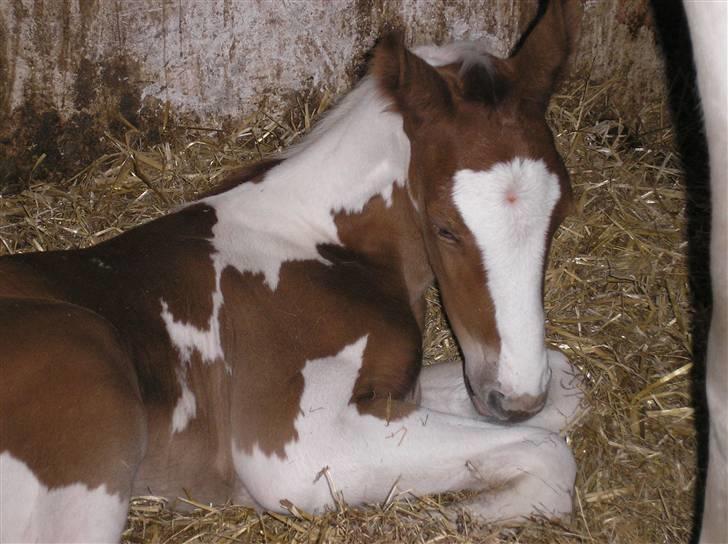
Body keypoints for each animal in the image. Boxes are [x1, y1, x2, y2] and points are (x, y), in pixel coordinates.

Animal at [0, 0, 580, 540]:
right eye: (444, 227)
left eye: (562, 210)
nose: (515, 399)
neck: (317, 241)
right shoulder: (300, 444)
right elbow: (550, 452)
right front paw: (472, 514)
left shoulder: (400, 392)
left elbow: (568, 387)